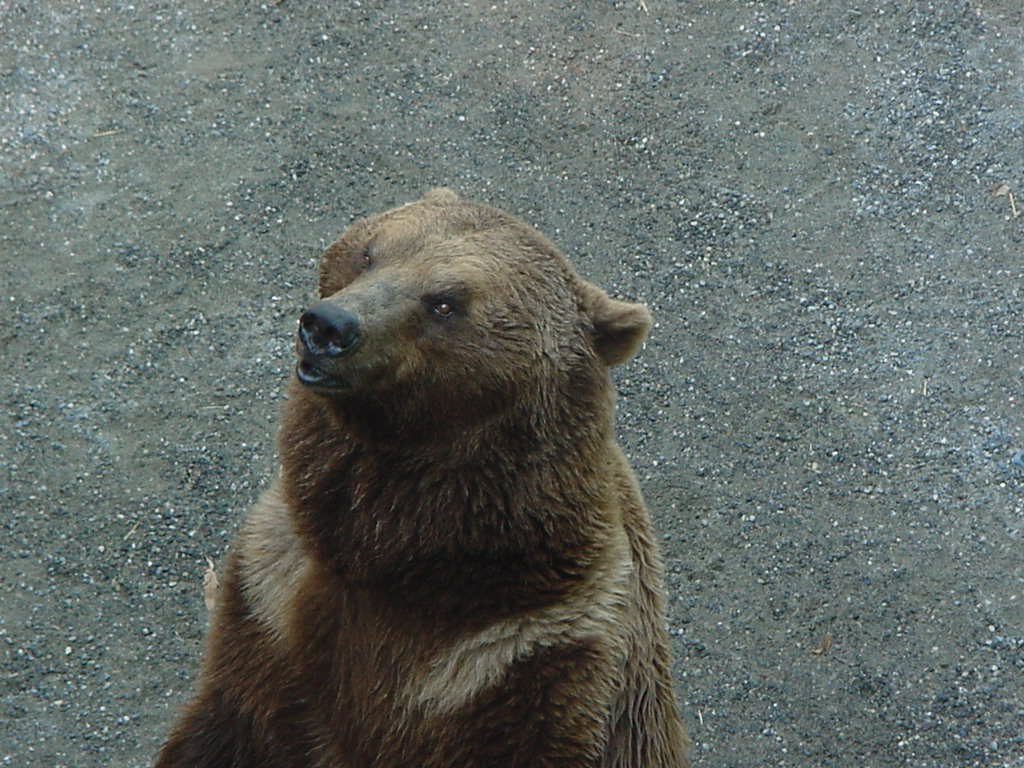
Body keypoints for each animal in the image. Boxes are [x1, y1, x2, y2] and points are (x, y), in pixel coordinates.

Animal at [154, 188, 690, 768]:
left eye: (445, 302)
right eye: (370, 251)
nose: (328, 326)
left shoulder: (529, 669)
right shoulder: (270, 602)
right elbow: (224, 728)